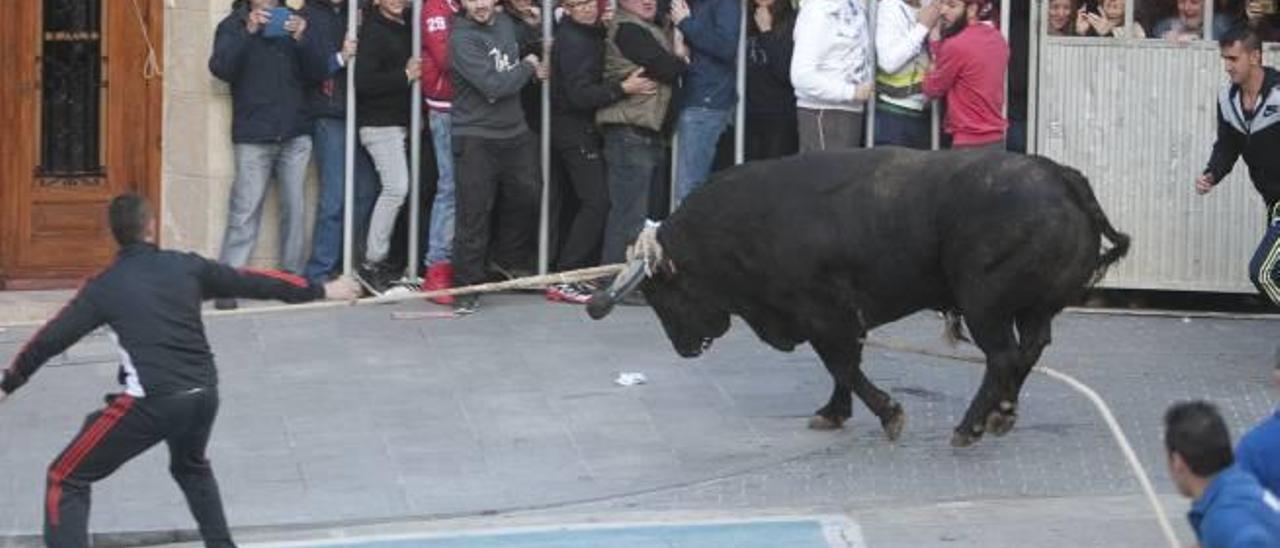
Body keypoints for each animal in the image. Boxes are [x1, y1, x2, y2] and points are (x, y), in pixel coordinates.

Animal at [586, 147, 1131, 448]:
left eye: (662, 293)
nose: (683, 348)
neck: (744, 227)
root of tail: (1059, 175)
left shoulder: (825, 315)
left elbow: (844, 365)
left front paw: (888, 414)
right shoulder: (835, 321)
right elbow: (841, 367)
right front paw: (833, 412)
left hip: (986, 306)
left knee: (1002, 357)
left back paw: (970, 426)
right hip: (1035, 308)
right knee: (1028, 351)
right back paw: (1001, 414)